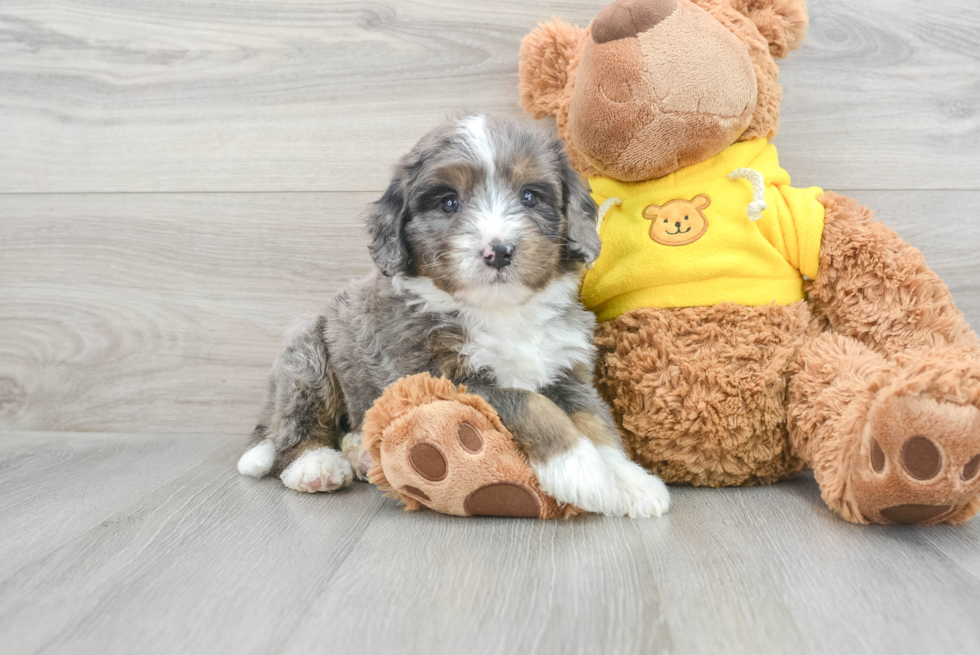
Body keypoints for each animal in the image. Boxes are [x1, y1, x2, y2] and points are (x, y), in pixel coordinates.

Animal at [235, 116, 672, 516]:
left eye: (530, 196)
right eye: (448, 202)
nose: (499, 251)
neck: (499, 311)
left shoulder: (567, 368)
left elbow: (595, 421)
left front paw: (629, 482)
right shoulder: (438, 377)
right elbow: (529, 402)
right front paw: (582, 472)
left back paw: (360, 451)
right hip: (306, 352)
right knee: (295, 425)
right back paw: (315, 465)